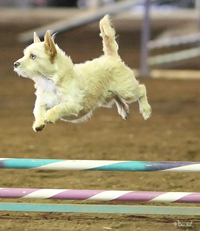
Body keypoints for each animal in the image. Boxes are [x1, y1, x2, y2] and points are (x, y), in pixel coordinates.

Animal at [14, 14, 152, 132]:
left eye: (32, 56)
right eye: (24, 54)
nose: (15, 64)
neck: (50, 81)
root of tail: (111, 57)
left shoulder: (73, 105)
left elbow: (59, 107)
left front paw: (50, 115)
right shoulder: (42, 102)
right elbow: (38, 111)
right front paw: (38, 123)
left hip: (127, 90)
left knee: (141, 89)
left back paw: (146, 110)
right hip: (107, 97)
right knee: (116, 97)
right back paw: (124, 110)